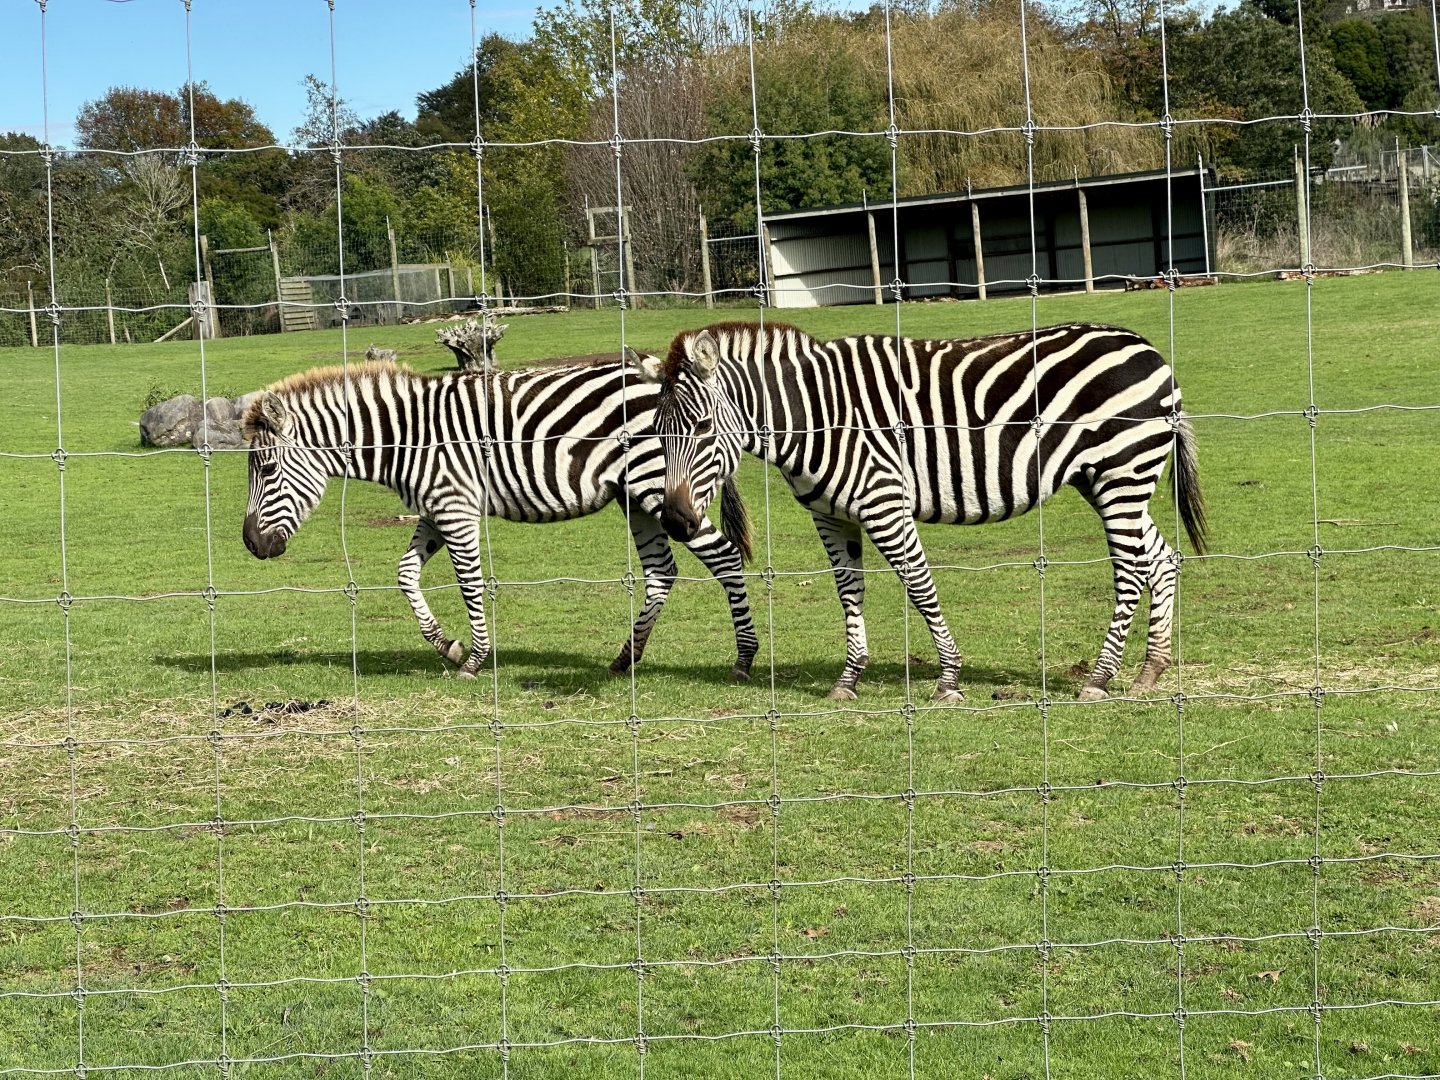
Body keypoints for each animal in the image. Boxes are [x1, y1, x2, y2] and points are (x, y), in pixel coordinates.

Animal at [241, 356, 758, 681]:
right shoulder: (438, 506)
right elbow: (406, 574)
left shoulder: (455, 508)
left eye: (266, 470)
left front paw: (475, 660)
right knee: (661, 572)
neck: (409, 437)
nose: (250, 544)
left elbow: (470, 582)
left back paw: (744, 658)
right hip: (637, 497)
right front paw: (447, 646)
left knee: (724, 557)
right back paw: (625, 657)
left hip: (659, 489)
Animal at [630, 320, 1207, 702]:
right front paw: (848, 680)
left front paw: (948, 680)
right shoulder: (831, 514)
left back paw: (1099, 678)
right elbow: (849, 590)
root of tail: (1147, 347)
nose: (675, 523)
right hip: (1105, 478)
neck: (814, 416)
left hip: (1120, 473)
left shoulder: (883, 501)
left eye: (703, 427)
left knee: (1130, 569)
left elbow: (919, 584)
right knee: (1161, 558)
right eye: (655, 432)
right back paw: (1151, 670)